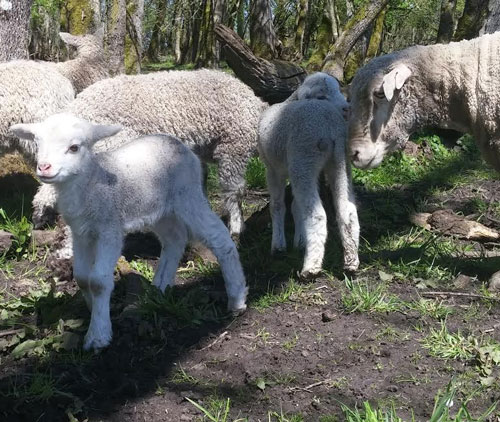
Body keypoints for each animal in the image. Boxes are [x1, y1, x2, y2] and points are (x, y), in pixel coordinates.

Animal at [8, 113, 247, 352]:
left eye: (74, 147)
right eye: (38, 144)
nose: (44, 167)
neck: (90, 182)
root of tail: (179, 144)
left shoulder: (109, 230)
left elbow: (98, 281)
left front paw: (98, 334)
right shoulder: (80, 233)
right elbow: (82, 278)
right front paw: (93, 310)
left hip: (188, 195)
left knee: (219, 238)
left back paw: (237, 298)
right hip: (159, 209)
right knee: (174, 239)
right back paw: (158, 289)